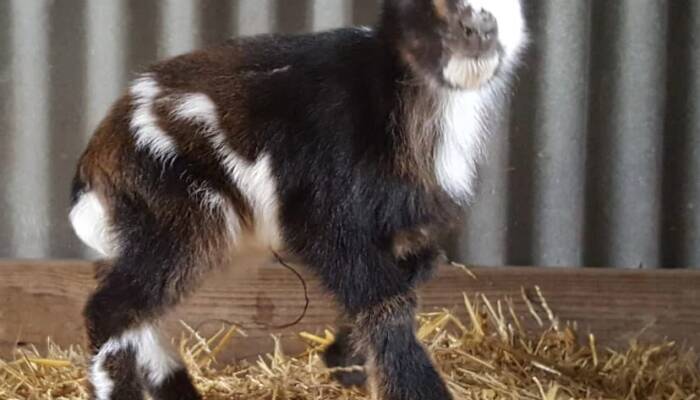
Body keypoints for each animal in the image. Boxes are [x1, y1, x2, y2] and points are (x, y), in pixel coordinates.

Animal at [69, 0, 526, 399]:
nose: (478, 30)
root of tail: (95, 157)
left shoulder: (396, 226)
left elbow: (420, 268)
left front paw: (343, 360)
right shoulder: (324, 212)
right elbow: (386, 299)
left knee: (142, 310)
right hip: (178, 208)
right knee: (110, 308)